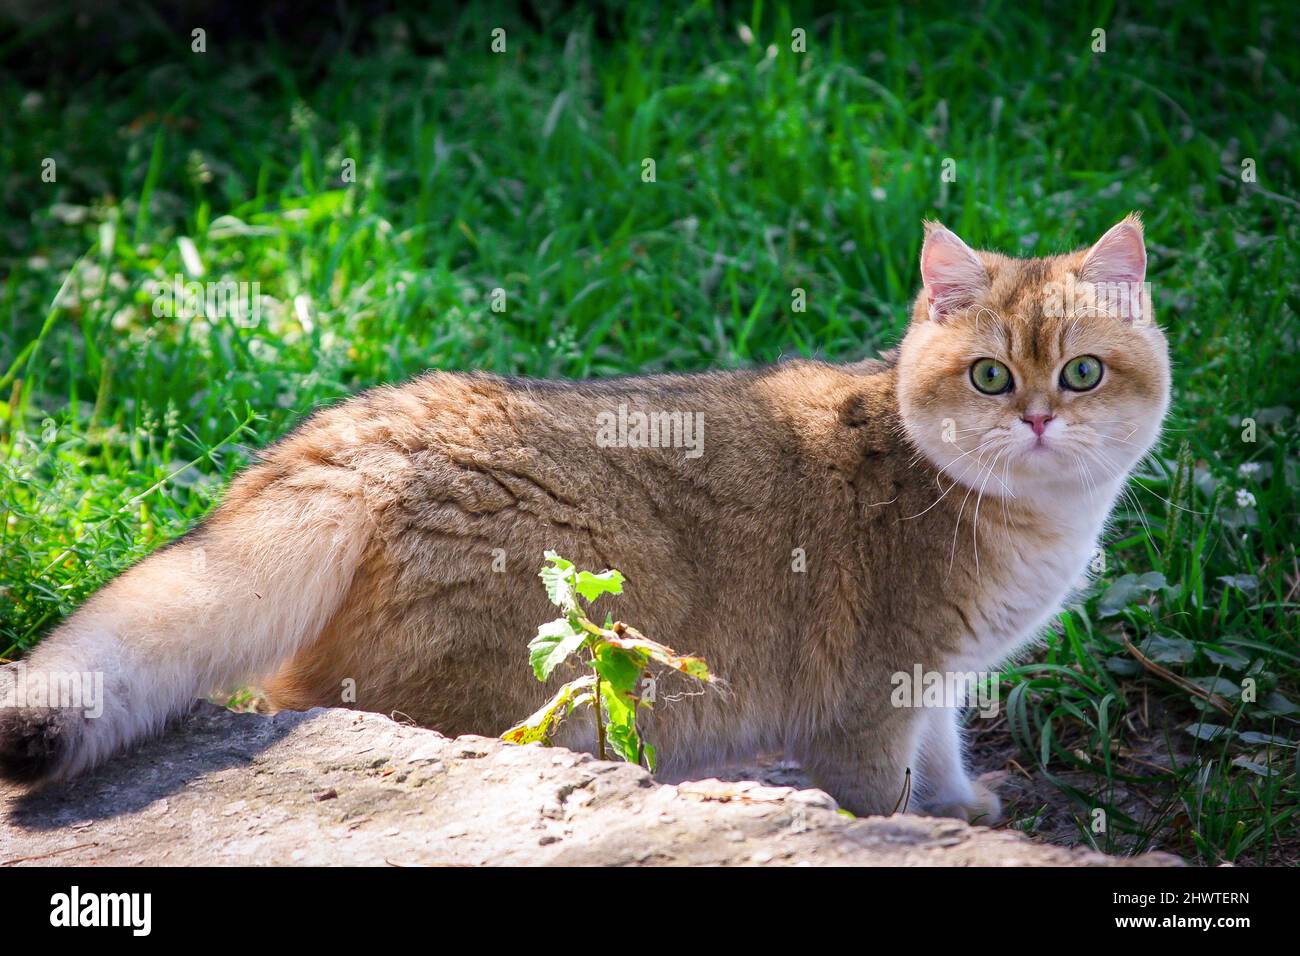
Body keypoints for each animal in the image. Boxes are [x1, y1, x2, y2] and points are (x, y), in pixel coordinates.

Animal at [0, 213, 1170, 816]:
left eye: (1079, 372)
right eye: (986, 376)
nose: (1035, 419)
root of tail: (364, 429)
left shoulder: (936, 682)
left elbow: (943, 753)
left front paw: (960, 808)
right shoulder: (874, 694)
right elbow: (880, 790)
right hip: (516, 692)